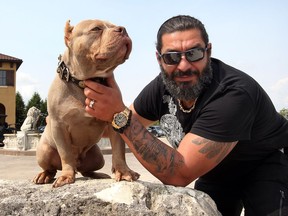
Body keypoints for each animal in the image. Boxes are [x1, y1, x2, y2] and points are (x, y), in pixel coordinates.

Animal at [32, 19, 140, 187]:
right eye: (96, 29)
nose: (123, 29)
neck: (84, 81)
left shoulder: (113, 120)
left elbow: (118, 150)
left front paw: (123, 172)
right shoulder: (58, 125)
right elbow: (65, 153)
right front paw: (66, 175)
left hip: (98, 157)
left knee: (86, 171)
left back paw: (98, 174)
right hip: (43, 151)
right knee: (52, 168)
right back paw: (44, 175)